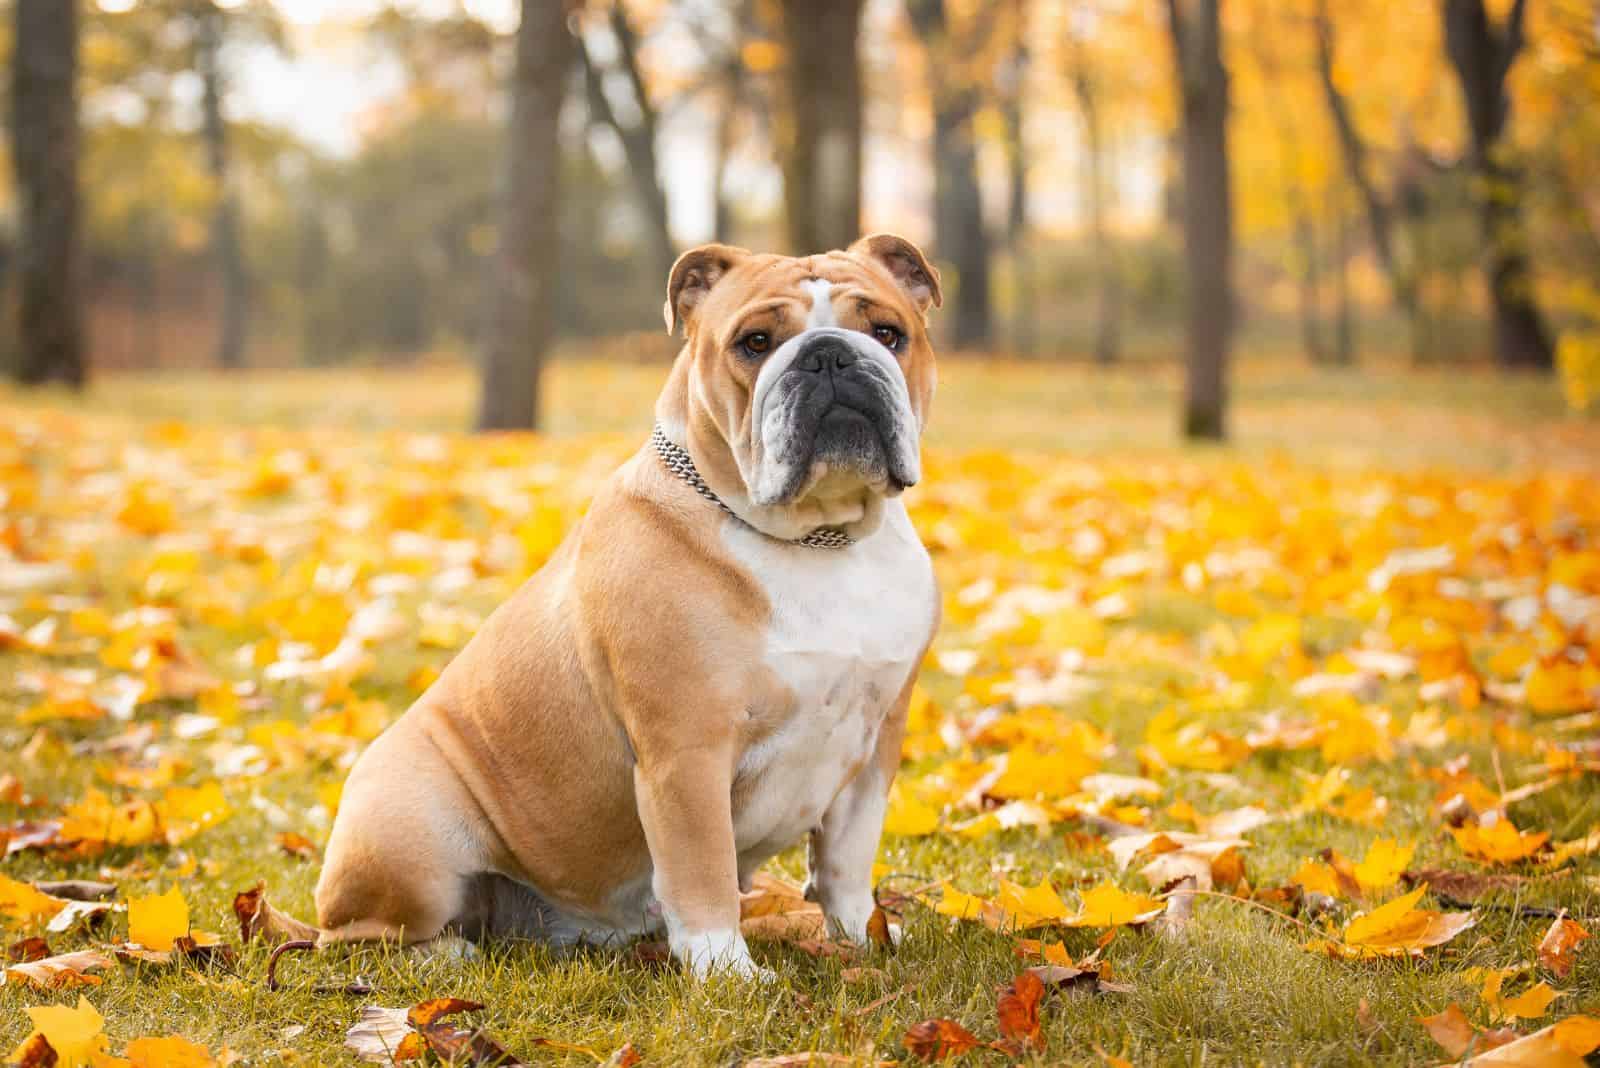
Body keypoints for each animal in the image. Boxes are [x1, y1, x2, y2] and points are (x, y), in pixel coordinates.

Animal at [313, 233, 940, 978]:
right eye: (755, 343)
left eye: (888, 333)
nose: (829, 355)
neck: (820, 539)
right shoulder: (686, 752)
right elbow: (702, 870)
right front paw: (727, 973)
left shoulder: (875, 746)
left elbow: (846, 859)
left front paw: (862, 938)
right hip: (409, 825)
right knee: (359, 935)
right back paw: (442, 956)